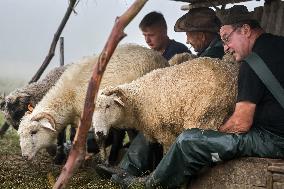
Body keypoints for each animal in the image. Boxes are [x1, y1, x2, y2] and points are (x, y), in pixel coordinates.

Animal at [17, 44, 169, 159]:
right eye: (21, 134)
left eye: (34, 132)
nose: (25, 156)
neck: (68, 95)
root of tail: (160, 57)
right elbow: (75, 137)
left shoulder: (92, 117)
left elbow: (97, 138)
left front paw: (96, 158)